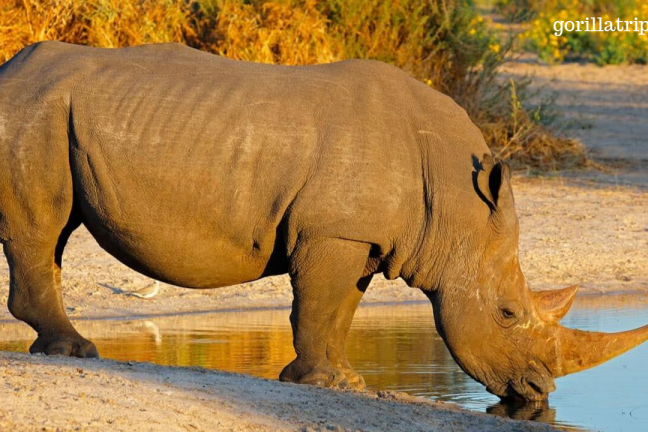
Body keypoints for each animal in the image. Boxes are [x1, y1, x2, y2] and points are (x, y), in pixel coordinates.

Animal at [1, 41, 646, 402]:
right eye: (508, 314)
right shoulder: (332, 231)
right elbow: (316, 305)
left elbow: (340, 311)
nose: (539, 392)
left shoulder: (363, 238)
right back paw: (75, 352)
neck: (453, 204)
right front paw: (320, 383)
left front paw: (345, 383)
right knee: (44, 225)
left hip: (50, 114)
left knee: (55, 232)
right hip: (31, 111)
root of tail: (9, 70)